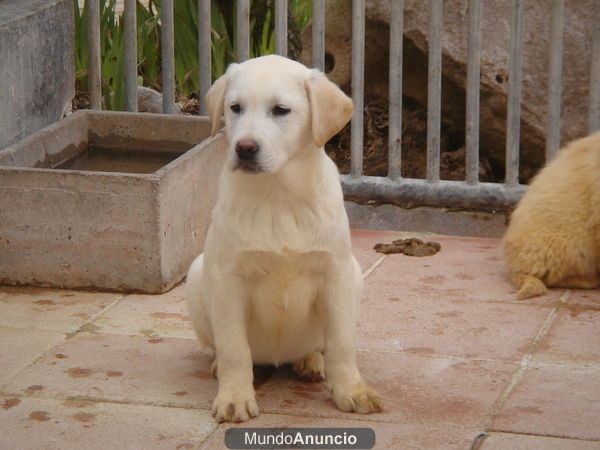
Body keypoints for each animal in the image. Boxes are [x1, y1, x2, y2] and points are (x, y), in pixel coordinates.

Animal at [185, 55, 382, 422]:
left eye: (280, 110)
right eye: (235, 107)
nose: (245, 148)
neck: (277, 194)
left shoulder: (336, 273)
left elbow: (342, 344)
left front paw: (352, 390)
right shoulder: (228, 279)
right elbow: (234, 347)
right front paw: (235, 397)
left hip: (355, 275)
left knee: (320, 345)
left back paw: (311, 361)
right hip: (197, 273)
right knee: (224, 347)